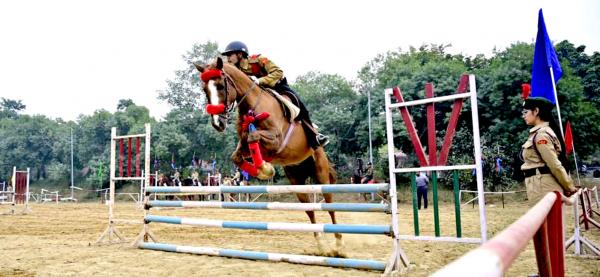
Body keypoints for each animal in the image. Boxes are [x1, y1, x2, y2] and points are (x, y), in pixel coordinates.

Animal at [192, 57, 342, 254]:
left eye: (220, 86)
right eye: (205, 89)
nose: (218, 123)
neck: (253, 105)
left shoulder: (276, 140)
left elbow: (254, 136)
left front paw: (264, 168)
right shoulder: (244, 146)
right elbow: (237, 156)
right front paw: (264, 170)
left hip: (321, 174)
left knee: (330, 206)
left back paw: (339, 245)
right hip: (297, 179)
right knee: (309, 210)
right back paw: (321, 245)